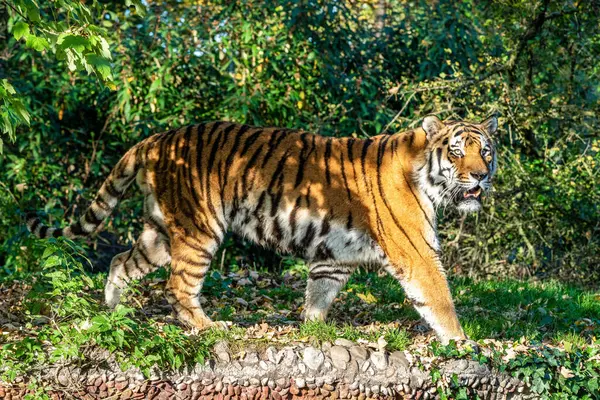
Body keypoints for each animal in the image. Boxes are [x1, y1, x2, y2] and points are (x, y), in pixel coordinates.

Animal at [27, 115, 496, 344]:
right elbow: (440, 299)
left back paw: (113, 312)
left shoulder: (334, 257)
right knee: (177, 286)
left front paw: (312, 329)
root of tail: (156, 138)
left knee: (121, 261)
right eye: (458, 152)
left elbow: (318, 295)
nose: (480, 176)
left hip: (160, 231)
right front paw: (464, 342)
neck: (427, 178)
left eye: (487, 151)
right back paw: (208, 327)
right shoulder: (417, 253)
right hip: (199, 229)